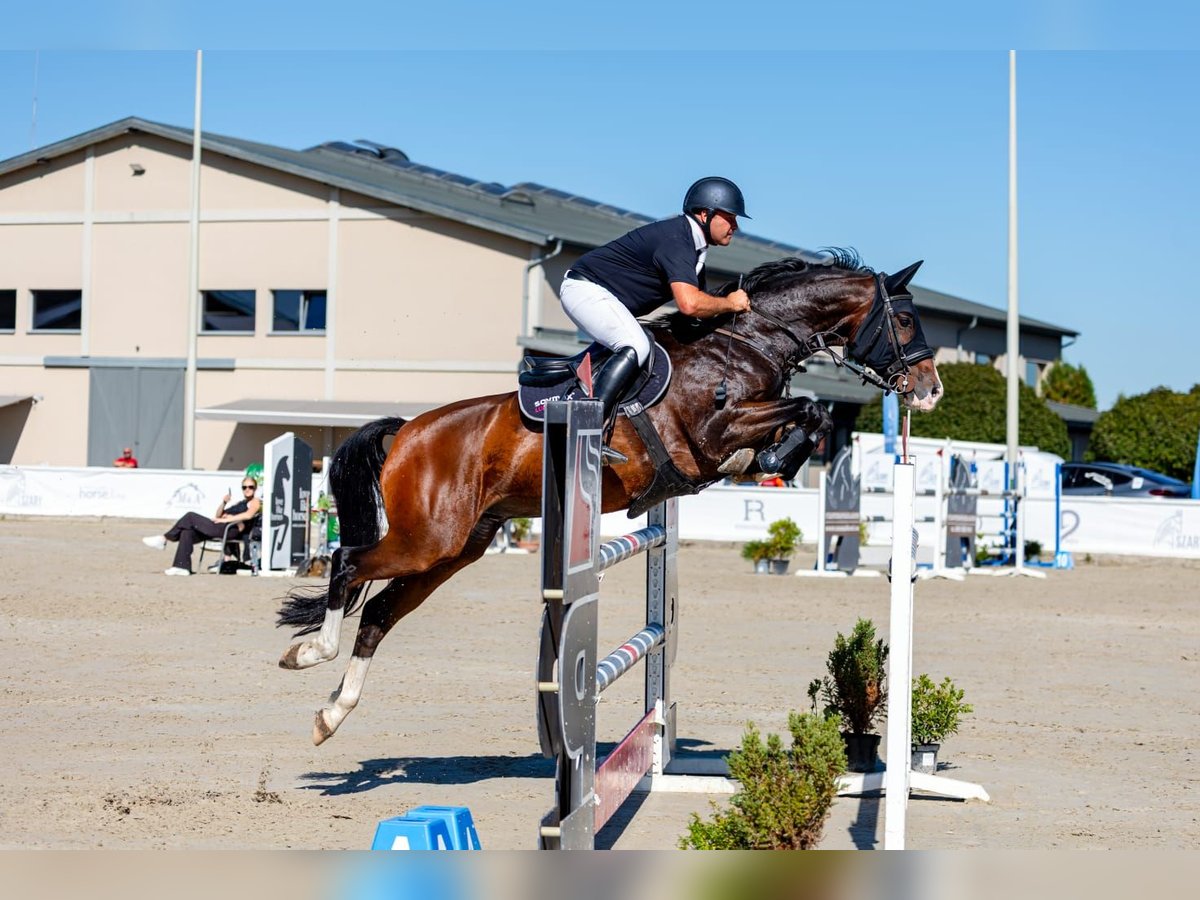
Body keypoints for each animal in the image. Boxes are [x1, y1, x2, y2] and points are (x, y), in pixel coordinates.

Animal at [277, 251, 943, 745]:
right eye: (907, 321)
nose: (931, 390)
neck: (748, 341)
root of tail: (409, 430)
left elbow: (810, 418)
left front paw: (776, 460)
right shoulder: (714, 430)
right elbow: (805, 410)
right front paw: (774, 458)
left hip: (456, 548)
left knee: (379, 614)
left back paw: (332, 712)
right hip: (427, 538)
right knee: (347, 563)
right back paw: (311, 653)